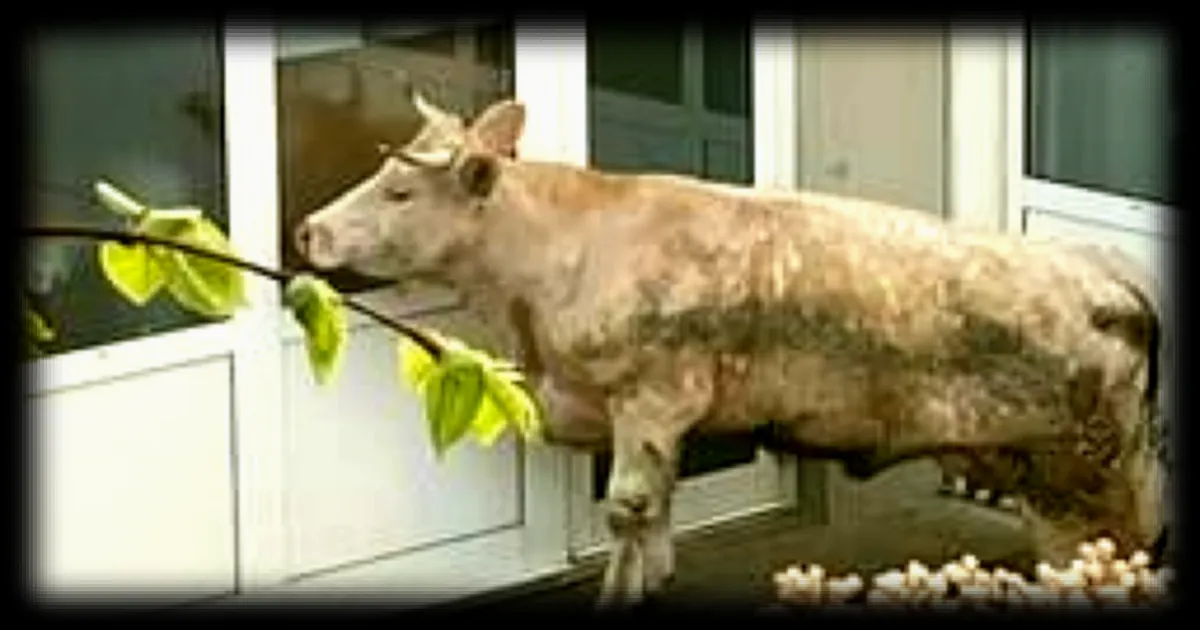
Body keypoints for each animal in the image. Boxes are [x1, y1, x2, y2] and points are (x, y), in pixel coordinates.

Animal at [293, 92, 1168, 609]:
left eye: (401, 191)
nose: (306, 230)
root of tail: (1107, 270)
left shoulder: (650, 397)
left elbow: (628, 506)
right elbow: (657, 509)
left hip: (1082, 478)